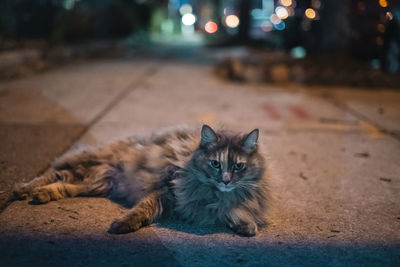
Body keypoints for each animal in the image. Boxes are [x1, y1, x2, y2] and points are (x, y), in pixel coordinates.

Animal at [13, 125, 268, 237]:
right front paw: (124, 224)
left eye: (238, 166)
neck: (214, 194)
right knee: (54, 174)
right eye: (216, 163)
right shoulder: (167, 190)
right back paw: (24, 190)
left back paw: (43, 194)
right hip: (87, 165)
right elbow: (145, 208)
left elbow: (233, 212)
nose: (226, 180)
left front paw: (245, 226)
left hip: (95, 183)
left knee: (65, 183)